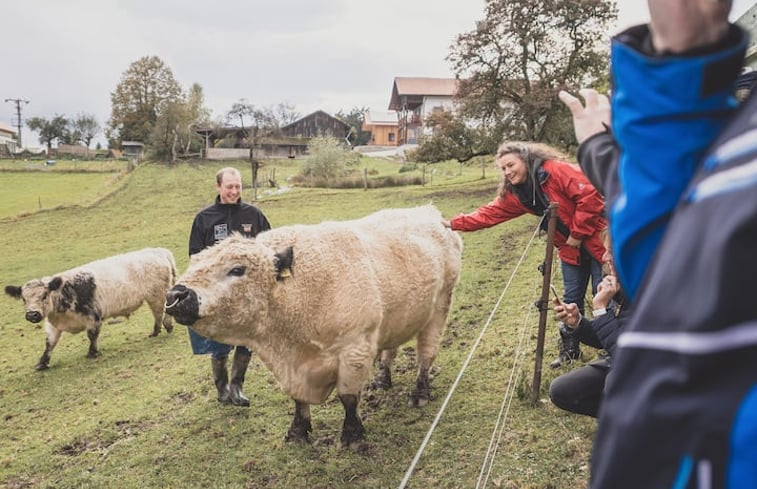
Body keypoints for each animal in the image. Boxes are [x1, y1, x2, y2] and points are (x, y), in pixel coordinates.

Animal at [5, 246, 176, 368]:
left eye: (44, 295)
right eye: (23, 299)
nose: (32, 315)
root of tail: (157, 251)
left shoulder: (93, 316)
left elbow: (92, 335)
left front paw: (92, 353)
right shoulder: (53, 325)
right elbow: (50, 342)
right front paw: (42, 363)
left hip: (159, 294)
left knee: (161, 312)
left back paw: (165, 326)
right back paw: (156, 331)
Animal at [165, 204, 460, 444]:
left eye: (237, 269)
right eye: (194, 261)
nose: (176, 294)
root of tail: (430, 212)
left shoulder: (354, 350)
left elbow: (348, 397)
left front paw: (352, 435)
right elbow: (299, 399)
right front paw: (298, 431)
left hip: (440, 307)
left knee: (426, 354)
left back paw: (420, 392)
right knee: (391, 348)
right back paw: (382, 379)